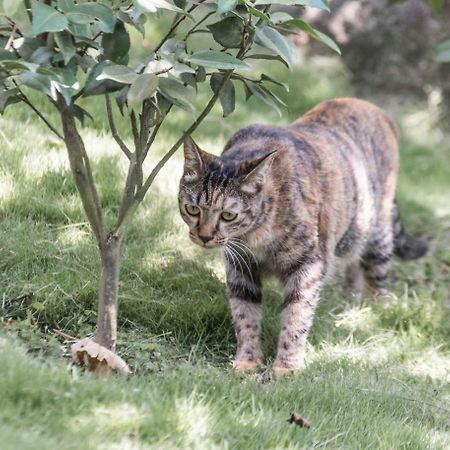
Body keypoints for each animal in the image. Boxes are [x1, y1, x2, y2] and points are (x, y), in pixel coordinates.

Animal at [178, 97, 428, 376]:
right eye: (193, 209)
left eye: (228, 215)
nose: (204, 236)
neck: (256, 238)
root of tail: (373, 107)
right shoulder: (240, 267)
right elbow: (245, 315)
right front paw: (248, 359)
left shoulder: (309, 264)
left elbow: (297, 316)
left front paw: (287, 366)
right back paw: (350, 296)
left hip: (377, 233)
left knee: (378, 276)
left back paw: (375, 309)